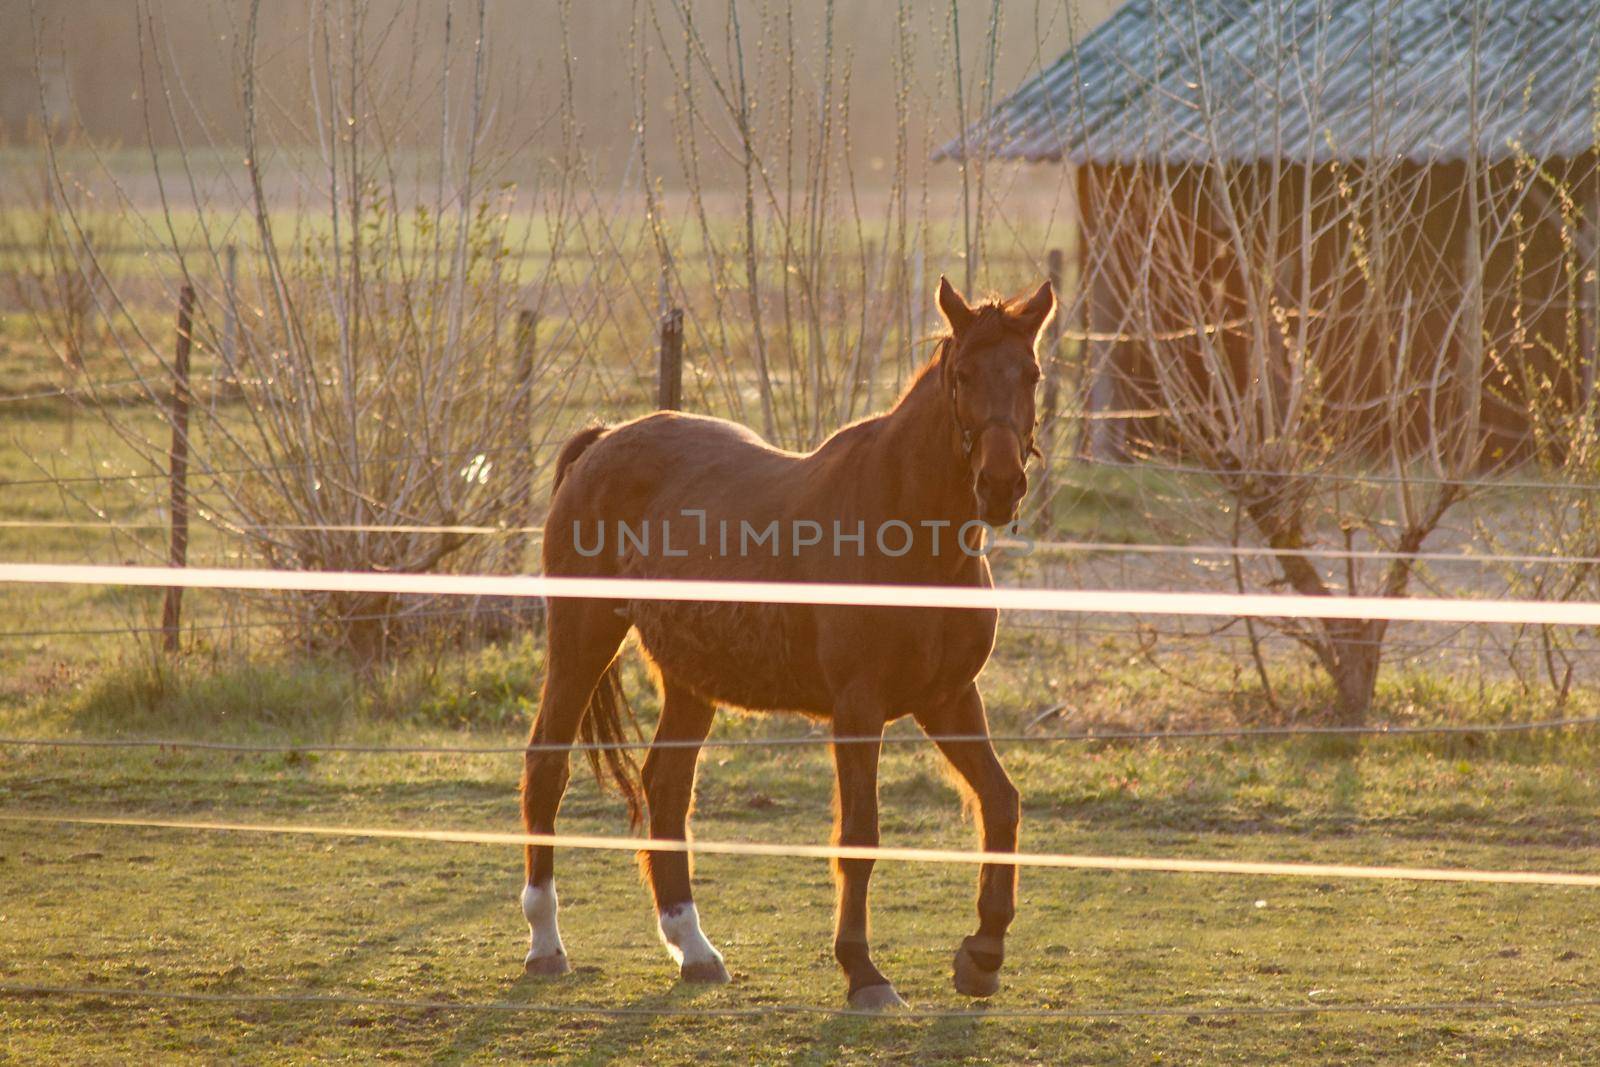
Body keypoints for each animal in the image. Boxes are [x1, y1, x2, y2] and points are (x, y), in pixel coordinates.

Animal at [518, 278, 1056, 1011]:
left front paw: (982, 952)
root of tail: (602, 441)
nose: (1000, 486)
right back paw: (546, 943)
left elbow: (1001, 803)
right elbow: (859, 836)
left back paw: (694, 948)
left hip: (690, 674)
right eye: (965, 374)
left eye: (1030, 374)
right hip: (583, 634)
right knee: (548, 765)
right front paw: (864, 971)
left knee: (666, 786)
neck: (905, 528)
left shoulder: (948, 697)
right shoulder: (858, 708)